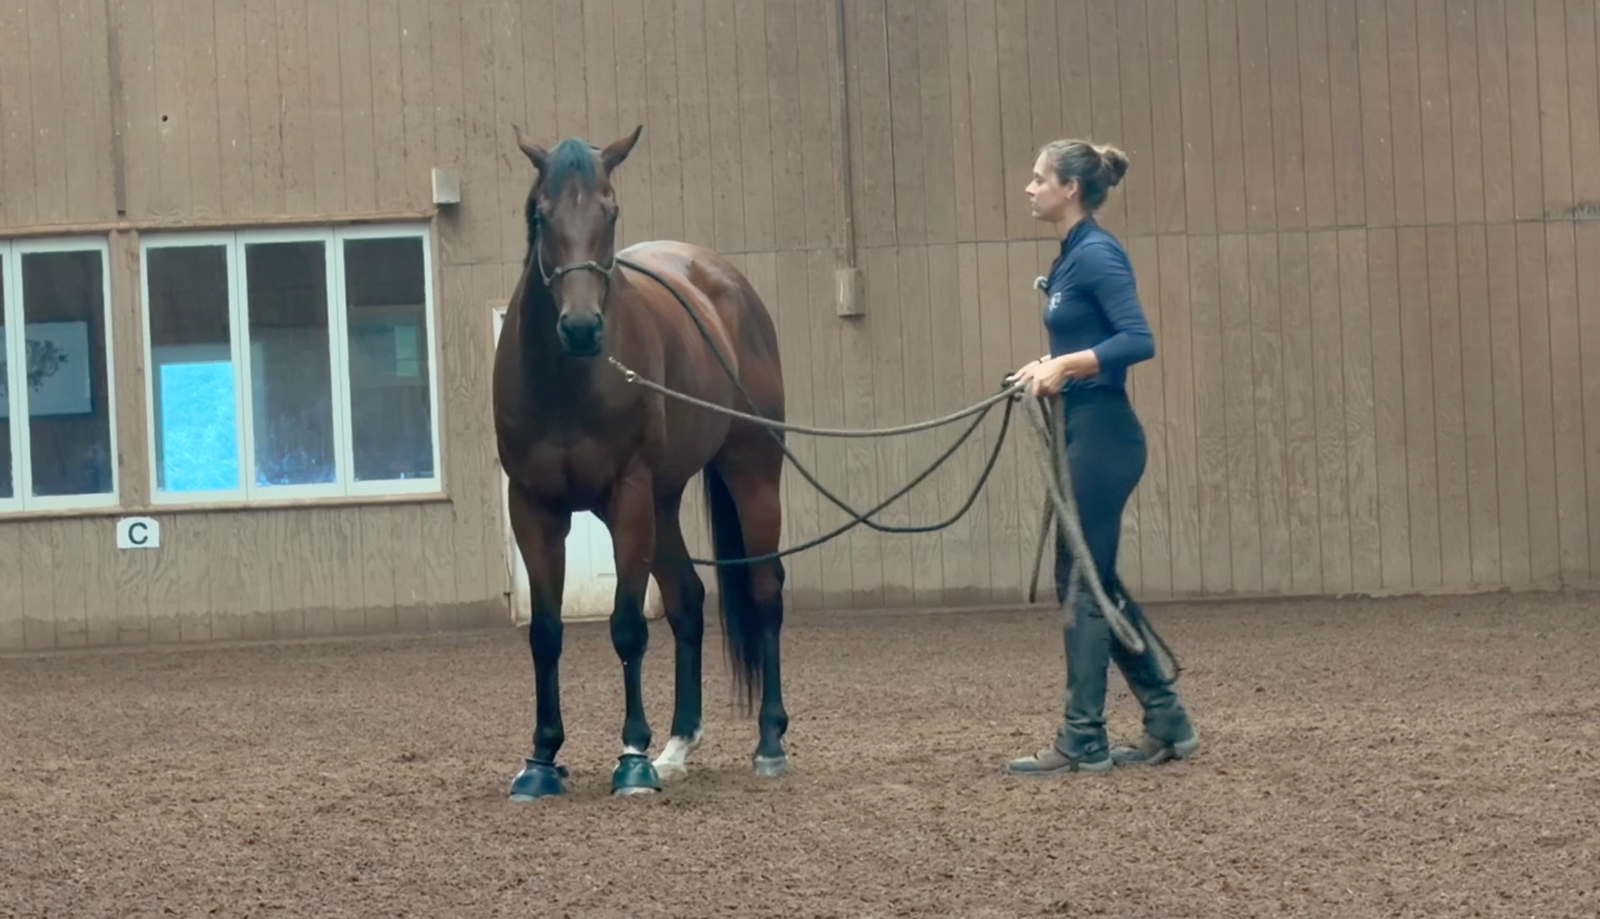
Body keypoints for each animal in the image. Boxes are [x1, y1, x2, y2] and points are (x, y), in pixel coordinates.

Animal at [492, 123, 792, 799]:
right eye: (541, 214)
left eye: (611, 210)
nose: (581, 327)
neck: (568, 383)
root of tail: (724, 281)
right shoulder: (533, 507)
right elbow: (545, 633)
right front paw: (541, 760)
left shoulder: (626, 497)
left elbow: (627, 625)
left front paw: (631, 757)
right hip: (665, 502)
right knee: (687, 599)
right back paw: (678, 745)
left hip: (752, 474)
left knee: (765, 591)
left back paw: (768, 741)